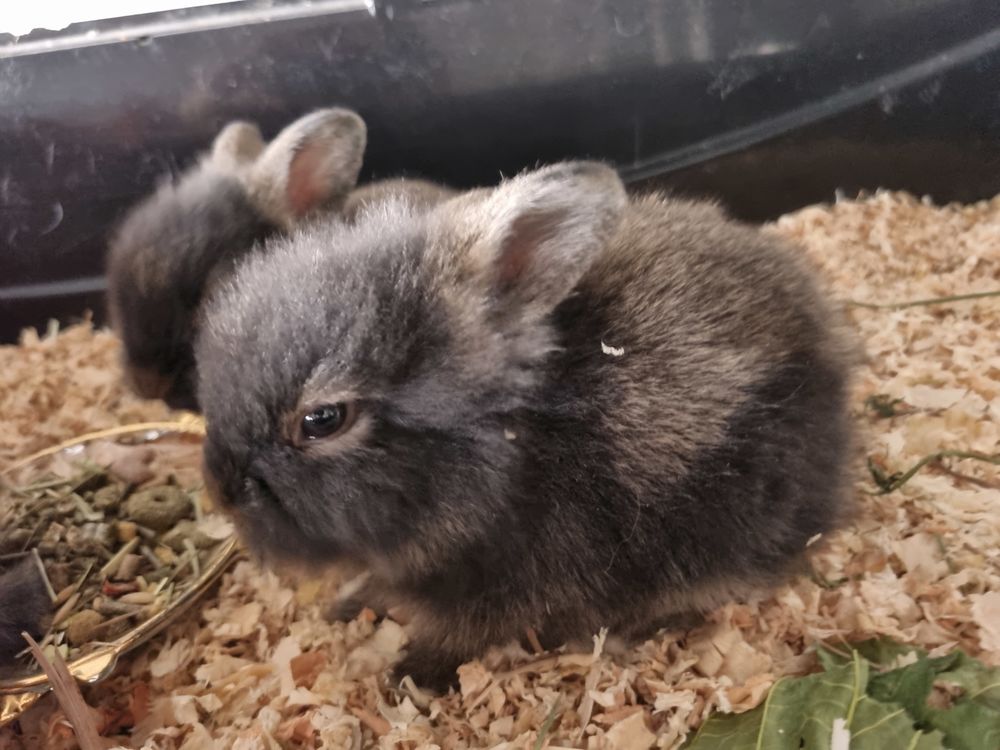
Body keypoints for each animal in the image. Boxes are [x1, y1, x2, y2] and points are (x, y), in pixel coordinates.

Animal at [194, 161, 856, 691]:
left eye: (321, 420)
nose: (222, 491)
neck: (509, 451)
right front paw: (350, 605)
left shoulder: (512, 589)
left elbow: (462, 636)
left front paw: (409, 675)